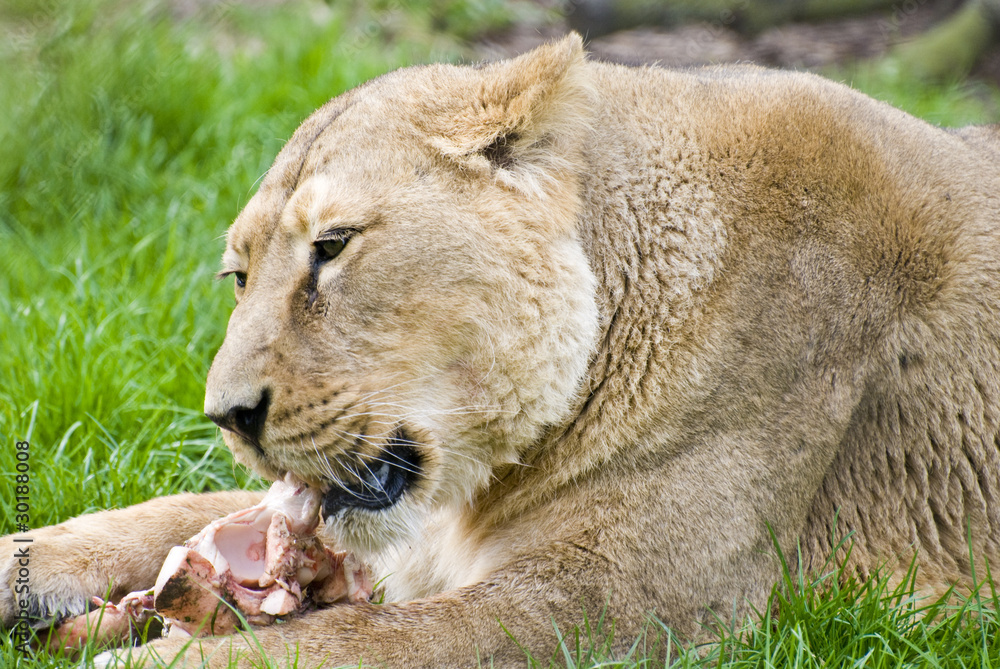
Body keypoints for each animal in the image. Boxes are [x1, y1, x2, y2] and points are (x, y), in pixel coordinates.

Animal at [3, 33, 1000, 667]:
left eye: (332, 247)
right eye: (238, 274)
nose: (228, 416)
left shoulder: (631, 604)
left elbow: (367, 644)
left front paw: (152, 659)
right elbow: (162, 513)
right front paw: (27, 565)